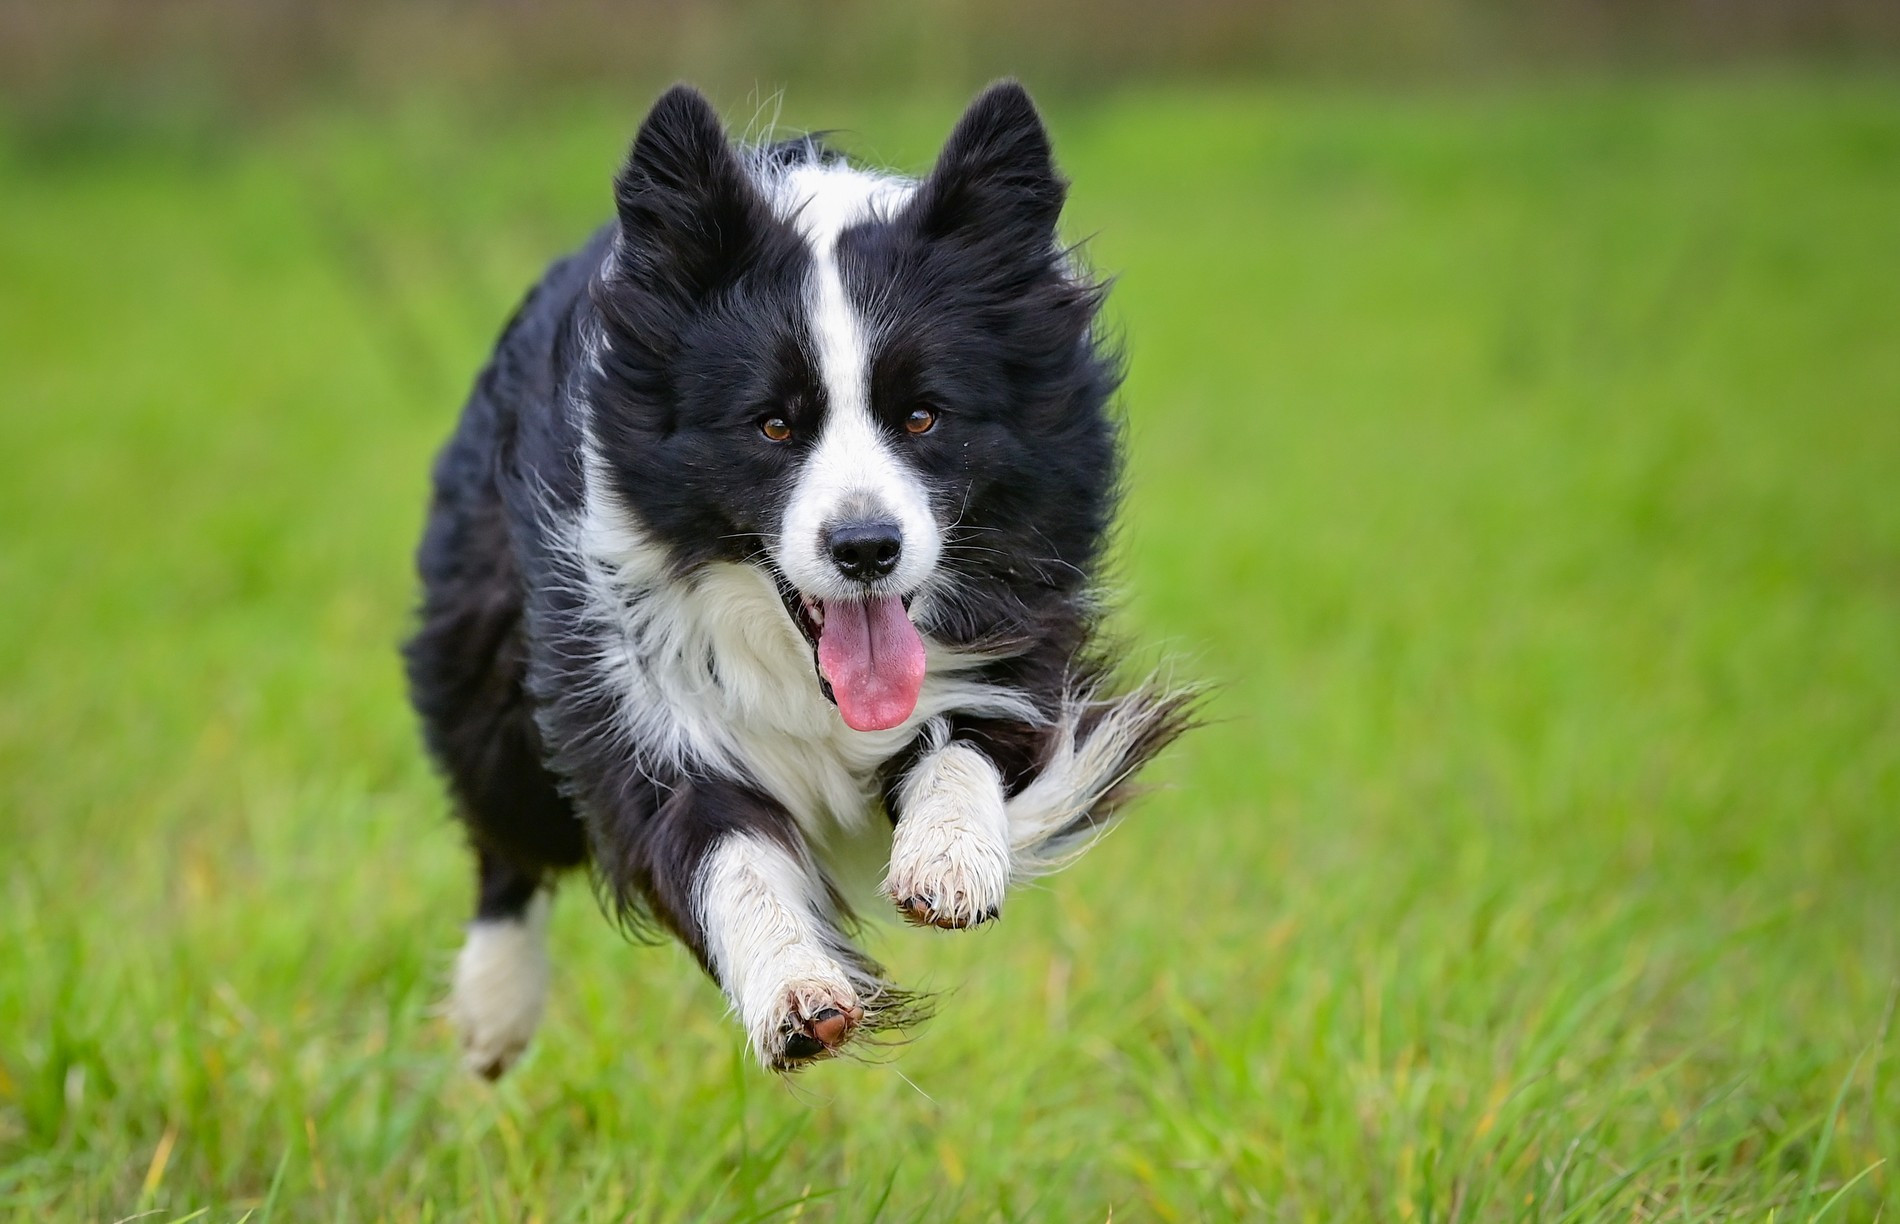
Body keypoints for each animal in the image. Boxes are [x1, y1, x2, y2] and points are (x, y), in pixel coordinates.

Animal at [406, 81, 1185, 1079]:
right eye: (773, 425)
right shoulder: (628, 676)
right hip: (485, 641)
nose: (866, 548)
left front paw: (948, 861)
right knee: (506, 829)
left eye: (924, 416)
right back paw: (493, 1011)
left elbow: (970, 739)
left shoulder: (1022, 630)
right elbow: (717, 845)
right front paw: (794, 989)